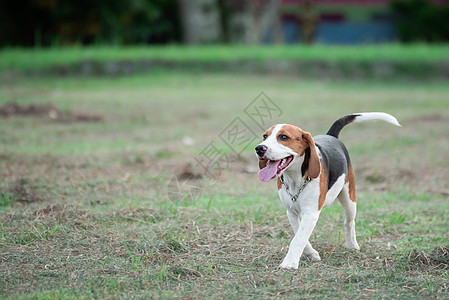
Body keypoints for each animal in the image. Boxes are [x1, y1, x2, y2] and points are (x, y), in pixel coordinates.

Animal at [254, 112, 400, 270]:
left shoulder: (310, 213)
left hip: (349, 199)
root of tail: (331, 136)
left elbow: (298, 239)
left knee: (349, 222)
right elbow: (299, 234)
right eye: (265, 136)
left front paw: (289, 263)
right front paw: (311, 254)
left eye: (284, 137)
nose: (259, 148)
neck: (295, 179)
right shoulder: (291, 212)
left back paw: (352, 245)